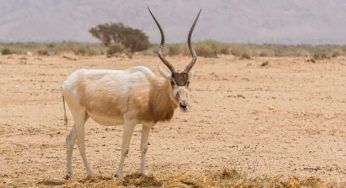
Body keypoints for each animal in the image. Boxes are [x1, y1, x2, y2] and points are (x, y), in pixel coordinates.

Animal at [61, 8, 200, 179]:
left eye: (188, 82)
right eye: (172, 82)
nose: (184, 105)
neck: (151, 89)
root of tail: (66, 83)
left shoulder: (147, 124)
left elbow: (144, 147)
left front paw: (144, 173)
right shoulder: (130, 121)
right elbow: (125, 148)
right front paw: (119, 175)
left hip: (85, 115)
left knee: (69, 139)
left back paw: (69, 174)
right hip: (79, 114)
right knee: (80, 142)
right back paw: (90, 174)